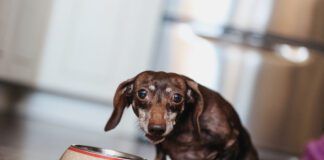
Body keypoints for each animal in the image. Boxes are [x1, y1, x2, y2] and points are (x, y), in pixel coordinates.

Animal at [105, 71, 258, 160]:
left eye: (177, 97)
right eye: (142, 93)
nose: (157, 129)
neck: (181, 132)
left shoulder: (230, 143)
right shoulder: (160, 152)